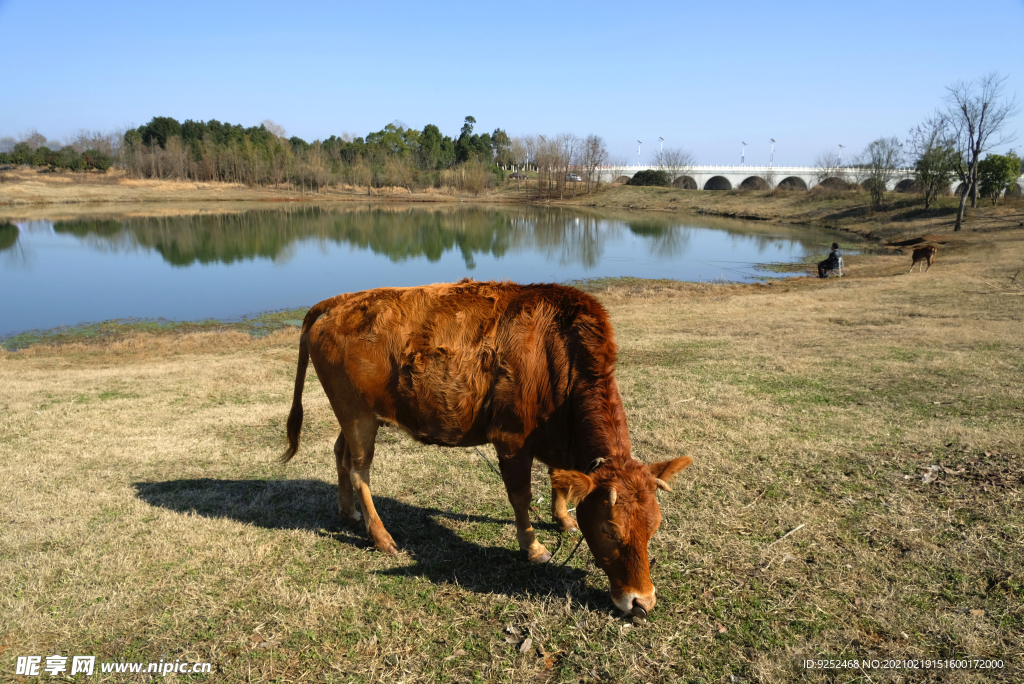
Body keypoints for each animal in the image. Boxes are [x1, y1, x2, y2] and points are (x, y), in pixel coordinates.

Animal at [284, 280, 692, 618]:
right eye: (610, 530)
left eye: (654, 527)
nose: (641, 602)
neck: (556, 352)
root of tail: (339, 302)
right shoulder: (512, 440)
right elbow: (521, 496)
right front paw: (534, 547)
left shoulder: (555, 439)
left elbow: (559, 480)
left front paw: (564, 519)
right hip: (357, 414)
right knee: (359, 470)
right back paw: (382, 536)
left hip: (352, 416)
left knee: (340, 455)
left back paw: (349, 513)